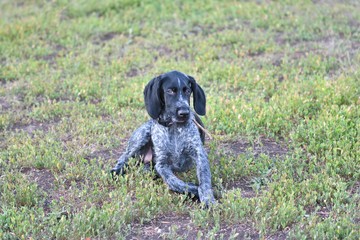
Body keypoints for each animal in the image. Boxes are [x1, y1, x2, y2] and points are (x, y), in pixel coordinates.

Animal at [111, 70, 215, 205]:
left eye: (188, 91)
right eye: (170, 91)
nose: (184, 113)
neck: (174, 127)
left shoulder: (200, 154)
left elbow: (205, 179)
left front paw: (208, 199)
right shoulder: (161, 163)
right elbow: (172, 181)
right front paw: (192, 189)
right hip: (142, 134)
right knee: (124, 156)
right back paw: (116, 170)